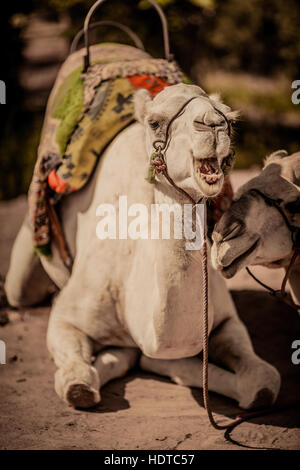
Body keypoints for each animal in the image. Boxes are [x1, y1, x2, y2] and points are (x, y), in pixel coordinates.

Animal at [5, 84, 282, 408]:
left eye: (228, 117)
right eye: (155, 122)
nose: (212, 125)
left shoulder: (225, 318)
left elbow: (264, 381)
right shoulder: (67, 317)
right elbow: (77, 381)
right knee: (20, 288)